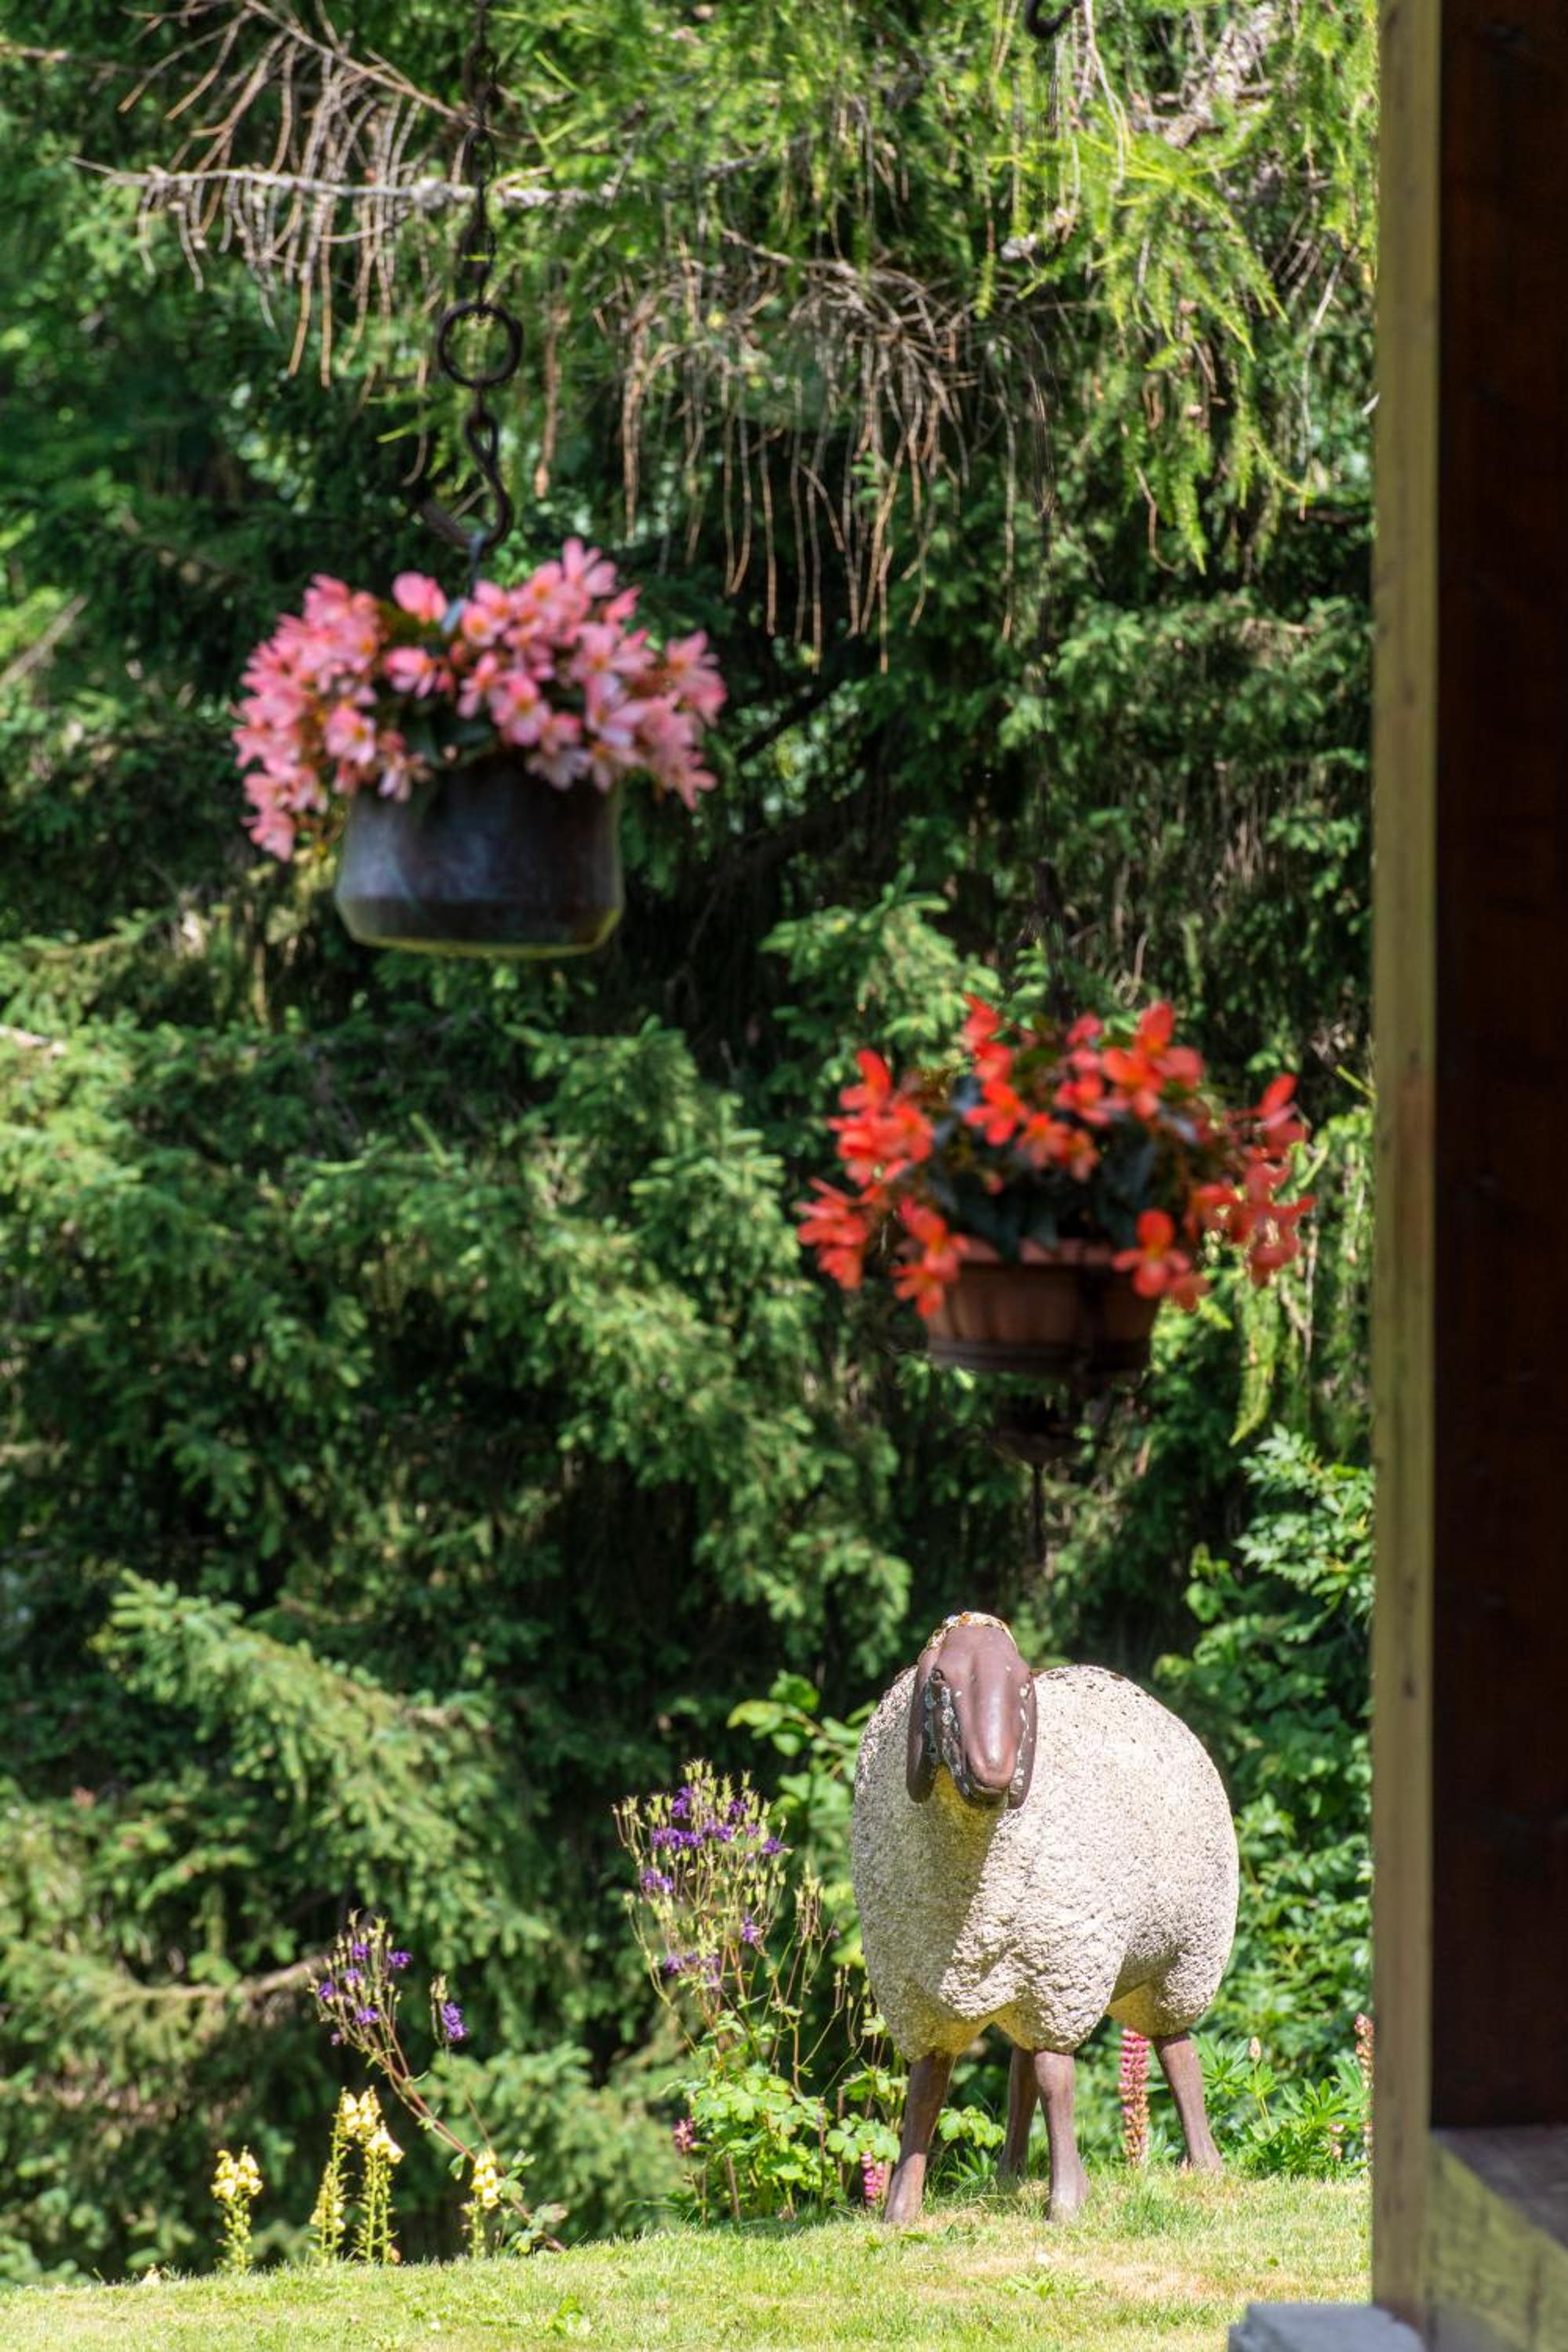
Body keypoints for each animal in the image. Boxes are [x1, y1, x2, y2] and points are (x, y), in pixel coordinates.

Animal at [850, 1610, 1238, 2223]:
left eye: (1023, 1686)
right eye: (939, 1680)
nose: (994, 1774)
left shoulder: (1064, 1973)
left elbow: (1059, 2078)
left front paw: (1066, 2202)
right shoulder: (917, 1995)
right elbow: (926, 2090)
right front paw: (900, 2211)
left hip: (1182, 1961)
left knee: (1176, 2051)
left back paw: (1204, 2164)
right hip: (1028, 1974)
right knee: (1021, 2067)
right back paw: (1009, 2174)